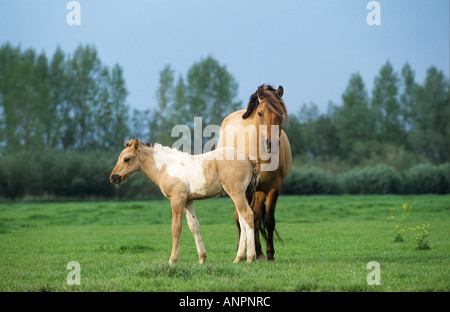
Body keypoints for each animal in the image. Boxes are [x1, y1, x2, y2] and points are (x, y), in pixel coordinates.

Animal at [110, 138, 260, 264]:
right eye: (119, 158)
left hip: (236, 193)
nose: (113, 177)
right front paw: (202, 259)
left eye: (127, 159)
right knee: (242, 221)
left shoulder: (177, 199)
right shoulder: (188, 201)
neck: (167, 167)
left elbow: (176, 228)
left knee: (248, 215)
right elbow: (194, 226)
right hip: (236, 196)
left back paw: (250, 257)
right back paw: (238, 258)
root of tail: (248, 159)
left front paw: (173, 260)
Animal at [217, 84, 292, 260]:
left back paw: (258, 252)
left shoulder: (273, 188)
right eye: (260, 113)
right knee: (240, 217)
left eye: (280, 114)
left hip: (258, 191)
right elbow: (245, 218)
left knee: (256, 216)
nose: (272, 143)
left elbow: (268, 220)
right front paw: (246, 252)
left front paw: (269, 253)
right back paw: (242, 250)